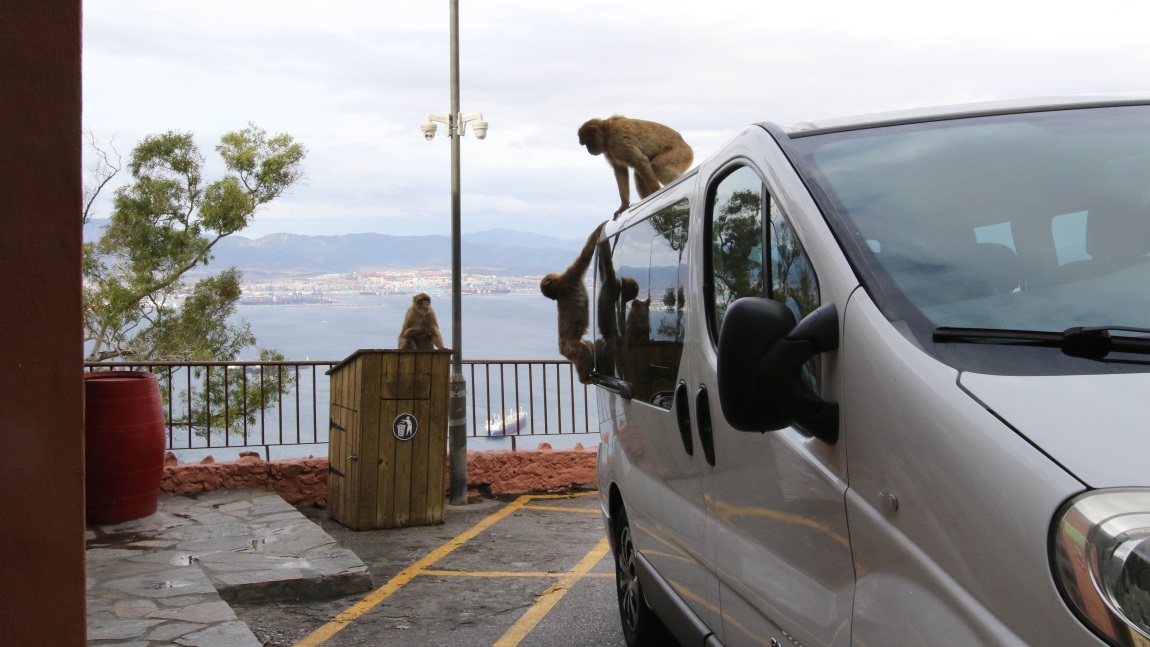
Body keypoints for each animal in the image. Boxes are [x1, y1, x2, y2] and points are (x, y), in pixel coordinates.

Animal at [541, 222, 607, 383]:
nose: (553, 299)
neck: (560, 287)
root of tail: (561, 348)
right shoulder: (571, 276)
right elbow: (585, 256)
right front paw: (600, 227)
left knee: (588, 345)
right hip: (571, 348)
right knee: (583, 351)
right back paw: (584, 378)